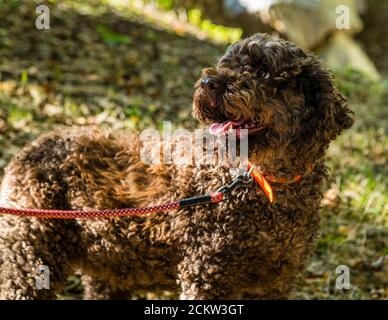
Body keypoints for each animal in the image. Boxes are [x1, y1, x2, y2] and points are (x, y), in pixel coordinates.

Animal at [0, 33, 352, 298]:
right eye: (227, 65)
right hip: (30, 258)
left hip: (107, 268)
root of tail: (31, 147)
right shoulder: (207, 275)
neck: (260, 181)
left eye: (264, 72)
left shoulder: (275, 284)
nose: (209, 82)